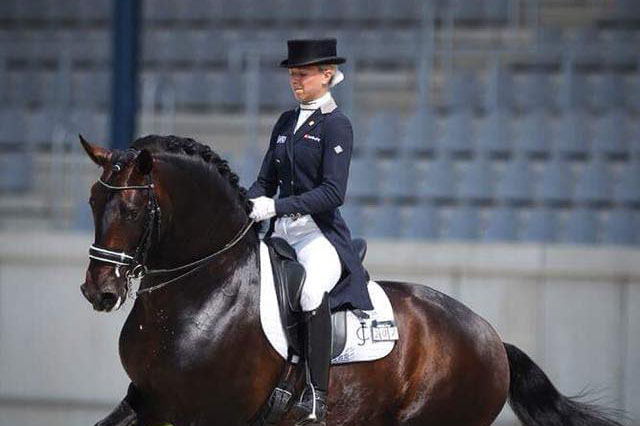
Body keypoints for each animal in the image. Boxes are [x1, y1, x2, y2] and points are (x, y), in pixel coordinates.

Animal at [80, 134, 624, 426]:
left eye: (132, 208)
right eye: (92, 200)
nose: (98, 290)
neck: (204, 289)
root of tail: (491, 337)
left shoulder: (214, 414)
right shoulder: (150, 401)